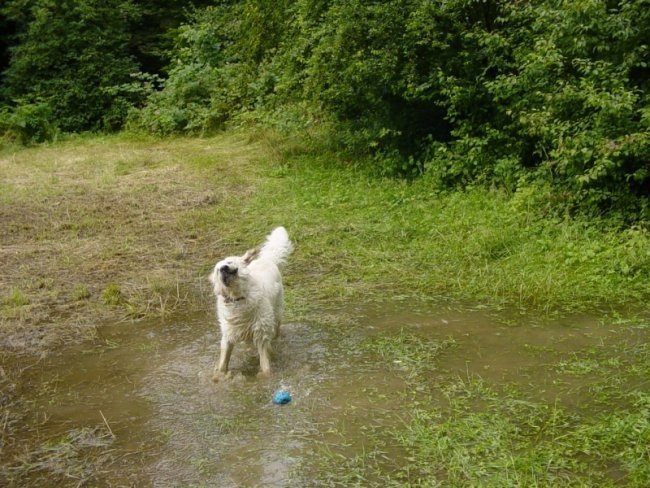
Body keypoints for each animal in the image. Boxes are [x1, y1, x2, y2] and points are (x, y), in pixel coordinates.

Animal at [209, 226, 292, 382]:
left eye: (229, 262)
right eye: (217, 270)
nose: (223, 268)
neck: (237, 298)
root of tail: (266, 259)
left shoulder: (261, 333)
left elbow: (265, 362)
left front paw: (265, 377)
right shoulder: (228, 334)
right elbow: (223, 361)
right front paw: (219, 376)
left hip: (276, 314)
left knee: (276, 330)